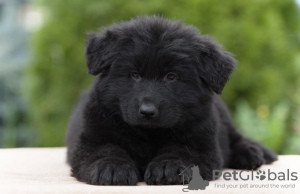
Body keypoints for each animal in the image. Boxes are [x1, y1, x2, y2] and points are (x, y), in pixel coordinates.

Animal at [67, 15, 278, 186]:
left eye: (171, 76)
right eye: (134, 74)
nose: (147, 111)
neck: (149, 133)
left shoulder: (202, 142)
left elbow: (182, 150)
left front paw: (167, 167)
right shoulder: (92, 138)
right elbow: (106, 149)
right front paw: (113, 168)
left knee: (236, 137)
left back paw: (251, 153)